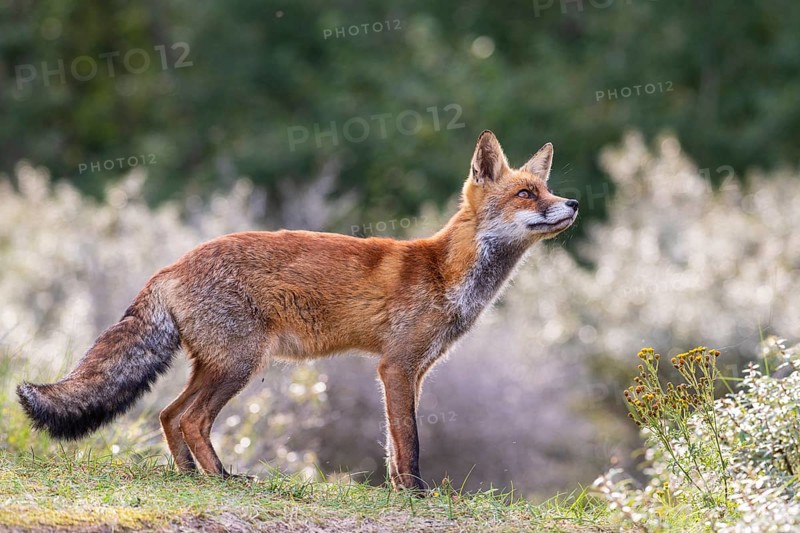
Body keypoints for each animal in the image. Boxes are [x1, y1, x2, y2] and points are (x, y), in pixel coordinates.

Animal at [17, 130, 578, 491]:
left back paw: (190, 476)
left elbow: (394, 445)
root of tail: (172, 266)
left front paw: (398, 490)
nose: (571, 203)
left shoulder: (412, 372)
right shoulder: (396, 366)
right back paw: (223, 478)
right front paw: (418, 494)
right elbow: (410, 440)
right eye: (526, 193)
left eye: (547, 189)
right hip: (240, 365)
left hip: (216, 366)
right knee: (191, 419)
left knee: (168, 415)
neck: (445, 274)